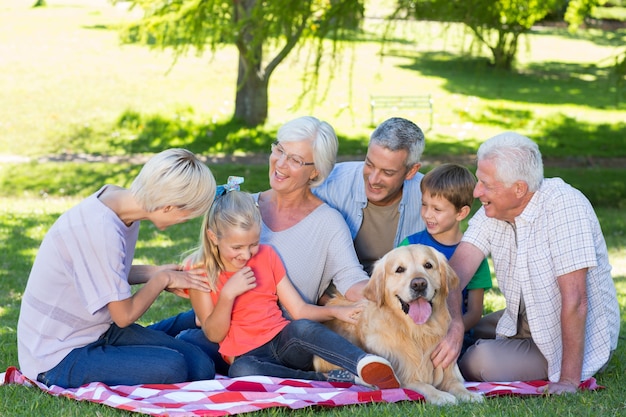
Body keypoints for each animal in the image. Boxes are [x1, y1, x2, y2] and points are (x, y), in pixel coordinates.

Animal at [314, 244, 480, 404]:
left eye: (428, 265)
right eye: (399, 269)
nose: (419, 284)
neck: (418, 332)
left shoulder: (448, 369)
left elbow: (456, 384)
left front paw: (469, 394)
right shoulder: (404, 377)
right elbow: (425, 385)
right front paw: (440, 395)